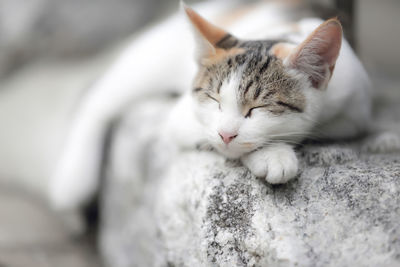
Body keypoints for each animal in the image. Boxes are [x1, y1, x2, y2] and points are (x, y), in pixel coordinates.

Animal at [50, 1, 372, 211]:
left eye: (257, 108)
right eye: (214, 100)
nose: (226, 134)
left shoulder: (354, 107)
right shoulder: (182, 116)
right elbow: (207, 137)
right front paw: (273, 156)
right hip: (150, 60)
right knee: (98, 99)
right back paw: (74, 178)